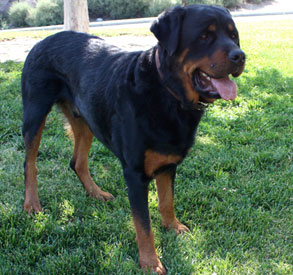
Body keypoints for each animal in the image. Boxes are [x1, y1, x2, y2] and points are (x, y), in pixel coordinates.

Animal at [21, 4, 244, 275]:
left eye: (233, 36)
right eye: (204, 36)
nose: (240, 56)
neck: (167, 92)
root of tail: (45, 38)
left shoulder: (168, 163)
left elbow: (166, 201)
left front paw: (172, 227)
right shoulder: (135, 173)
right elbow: (143, 225)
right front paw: (150, 262)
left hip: (85, 119)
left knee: (77, 162)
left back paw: (96, 193)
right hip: (35, 112)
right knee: (30, 163)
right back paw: (31, 204)